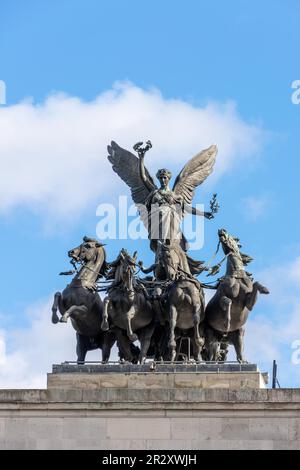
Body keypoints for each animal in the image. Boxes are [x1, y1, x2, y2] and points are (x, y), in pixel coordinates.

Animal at [204, 229, 270, 362]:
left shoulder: (249, 304)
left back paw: (243, 361)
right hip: (212, 337)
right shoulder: (222, 297)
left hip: (238, 333)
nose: (221, 230)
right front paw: (227, 322)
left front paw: (264, 289)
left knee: (238, 351)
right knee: (212, 357)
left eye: (234, 239)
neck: (237, 276)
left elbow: (256, 284)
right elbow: (228, 301)